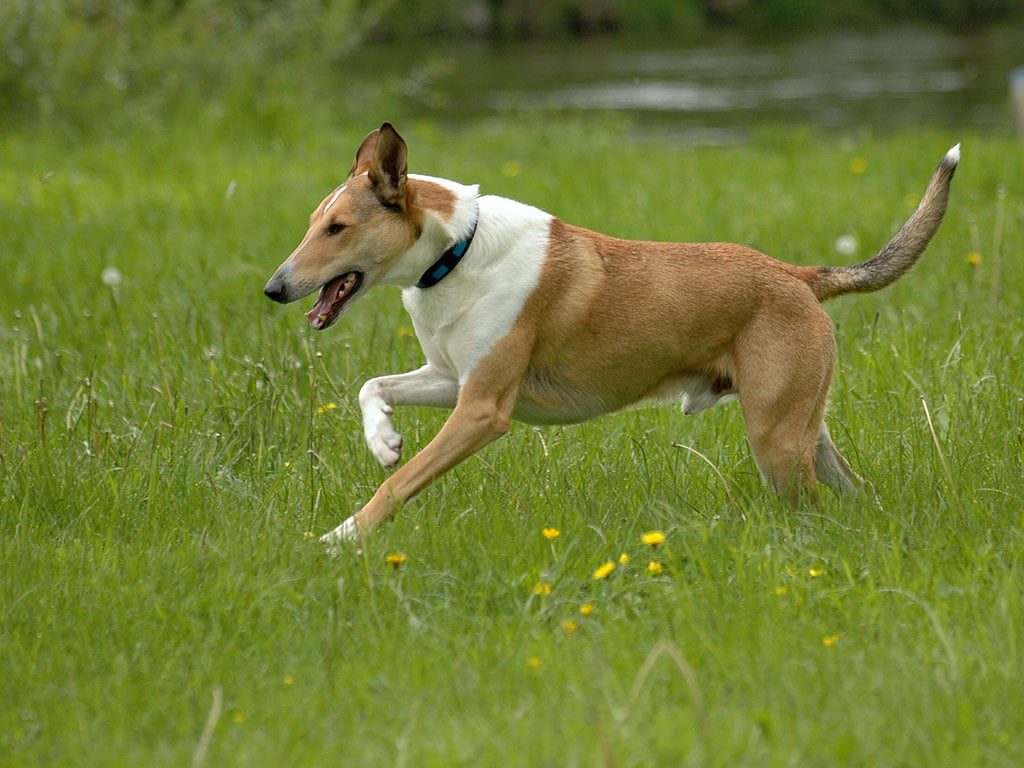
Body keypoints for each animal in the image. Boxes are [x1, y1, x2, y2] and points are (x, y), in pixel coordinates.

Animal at [264, 121, 958, 548]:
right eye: (313, 222)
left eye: (338, 228)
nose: (274, 288)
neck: (456, 252)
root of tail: (798, 274)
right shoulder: (451, 379)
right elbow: (371, 387)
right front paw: (382, 440)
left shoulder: (482, 409)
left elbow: (398, 484)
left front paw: (338, 539)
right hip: (802, 428)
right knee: (856, 494)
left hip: (775, 439)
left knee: (813, 508)